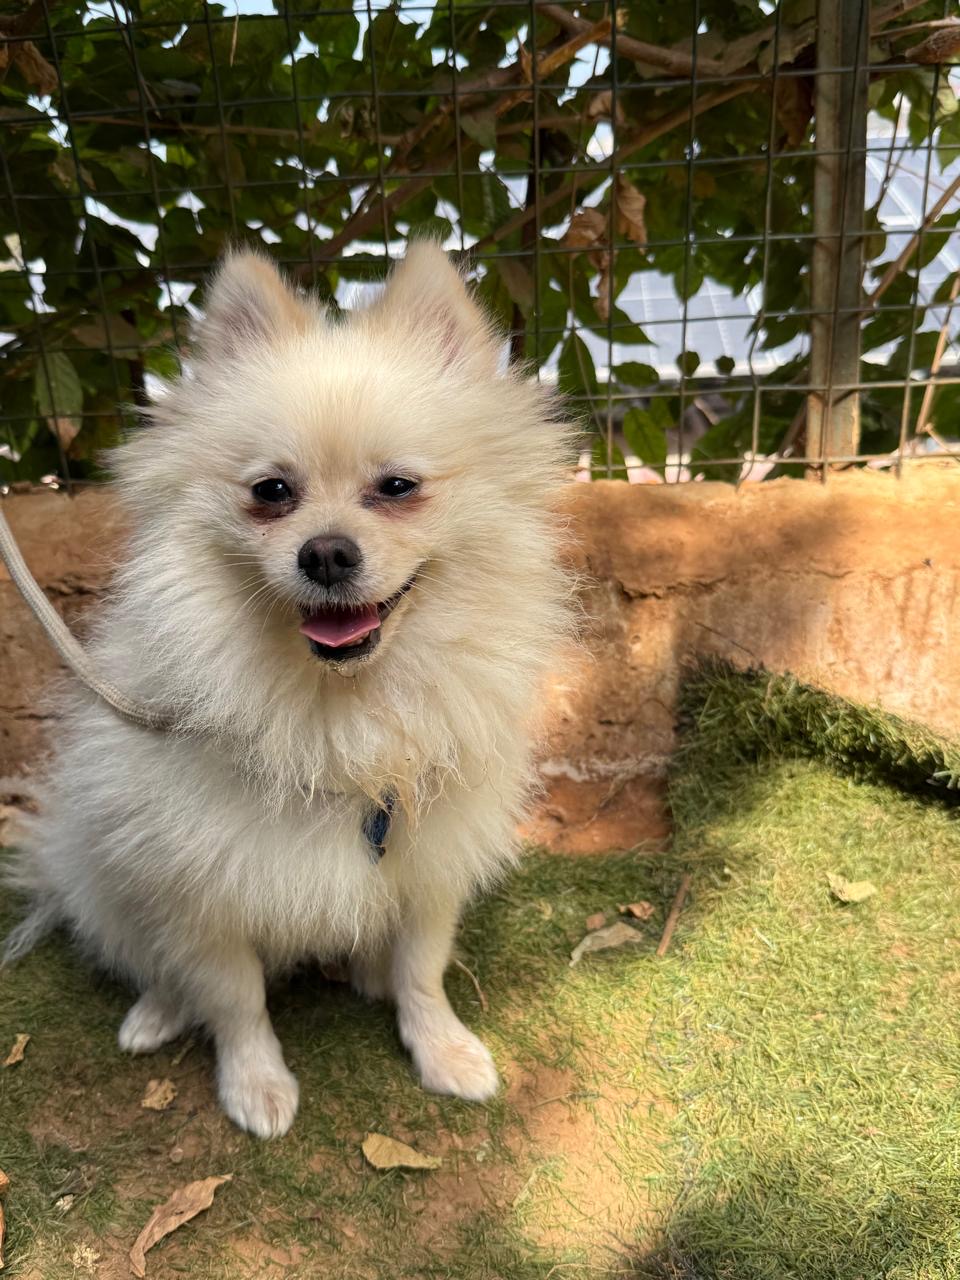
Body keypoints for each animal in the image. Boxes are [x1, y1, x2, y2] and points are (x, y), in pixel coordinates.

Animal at [4, 244, 573, 1137]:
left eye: (398, 487)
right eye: (271, 492)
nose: (327, 553)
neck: (339, 707)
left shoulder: (427, 861)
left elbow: (423, 969)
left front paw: (442, 1049)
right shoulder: (204, 886)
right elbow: (236, 999)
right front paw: (255, 1085)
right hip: (113, 873)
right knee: (150, 958)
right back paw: (158, 1011)